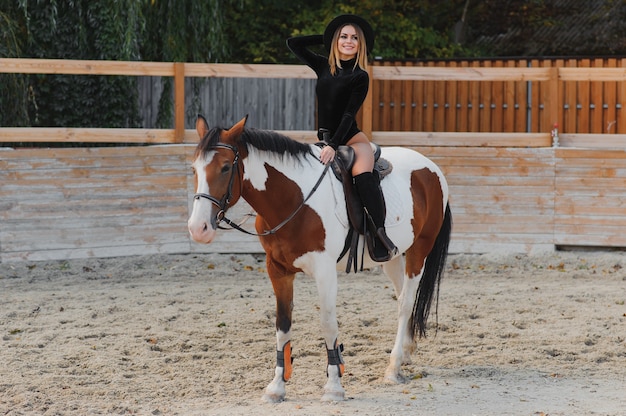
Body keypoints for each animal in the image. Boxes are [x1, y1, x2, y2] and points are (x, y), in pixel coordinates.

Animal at [185, 114, 448, 404]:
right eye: (195, 169)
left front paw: (334, 386)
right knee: (403, 295)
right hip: (390, 257)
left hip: (419, 250)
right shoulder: (277, 270)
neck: (294, 199)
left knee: (405, 302)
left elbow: (328, 324)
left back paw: (393, 367)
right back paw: (406, 352)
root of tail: (431, 168)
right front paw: (277, 387)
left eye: (224, 168)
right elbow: (283, 325)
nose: (198, 229)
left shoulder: (325, 271)